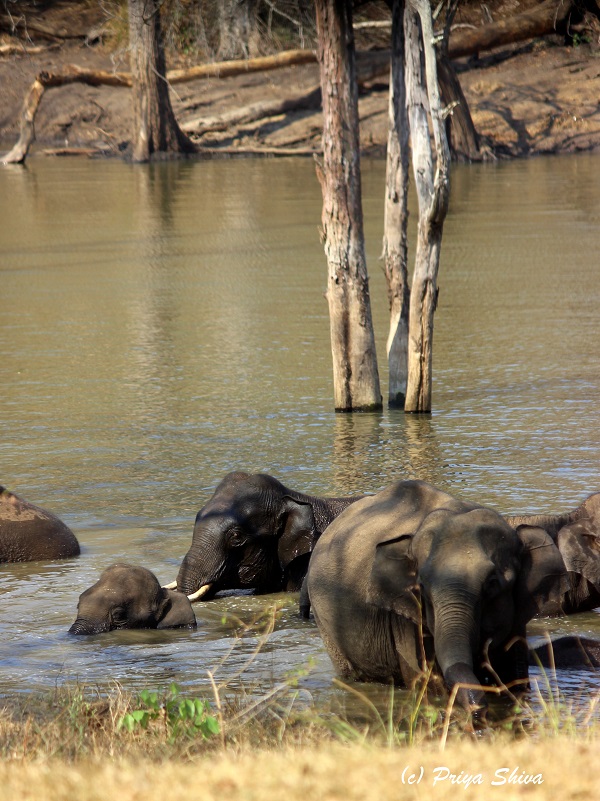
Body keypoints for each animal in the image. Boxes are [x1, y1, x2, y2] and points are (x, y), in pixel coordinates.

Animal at [304, 478, 568, 716]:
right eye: (421, 586)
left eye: (492, 583)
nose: (478, 710)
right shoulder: (404, 619)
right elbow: (428, 678)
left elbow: (514, 672)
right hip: (328, 629)